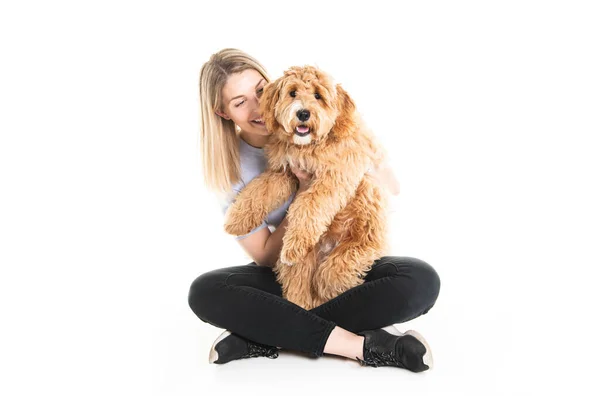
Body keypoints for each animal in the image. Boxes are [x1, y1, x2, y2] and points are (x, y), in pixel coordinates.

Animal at [225, 66, 390, 310]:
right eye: (292, 92)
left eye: (318, 96)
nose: (303, 113)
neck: (308, 147)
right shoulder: (284, 172)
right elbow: (260, 189)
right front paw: (236, 219)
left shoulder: (334, 178)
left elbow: (309, 203)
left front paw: (296, 242)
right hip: (304, 265)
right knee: (300, 287)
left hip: (363, 241)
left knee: (333, 274)